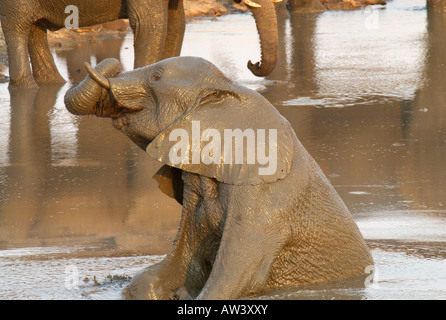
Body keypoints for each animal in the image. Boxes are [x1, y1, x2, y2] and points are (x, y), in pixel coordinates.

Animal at [0, 0, 278, 88]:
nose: (252, 62)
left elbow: (176, 24)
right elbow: (150, 24)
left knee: (35, 29)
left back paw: (51, 84)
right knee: (18, 28)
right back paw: (26, 88)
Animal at [64, 55, 374, 300]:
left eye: (156, 77)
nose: (111, 64)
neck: (226, 88)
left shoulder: (264, 200)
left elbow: (235, 277)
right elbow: (159, 274)